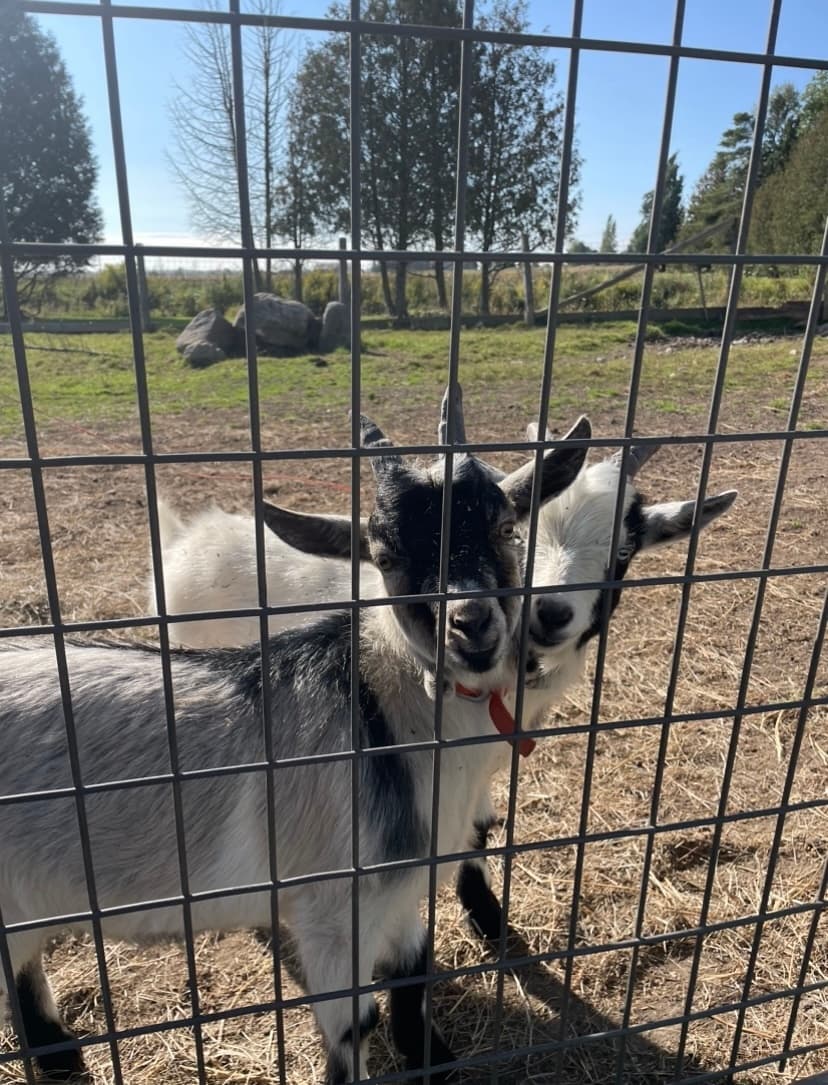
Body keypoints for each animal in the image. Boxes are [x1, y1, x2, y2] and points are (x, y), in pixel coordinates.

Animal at [0, 411, 588, 1083]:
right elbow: (356, 1025)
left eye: (505, 528)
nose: (471, 624)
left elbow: (413, 969)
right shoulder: (330, 909)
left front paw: (433, 1059)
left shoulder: (395, 892)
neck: (378, 716)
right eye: (385, 555)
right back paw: (58, 1058)